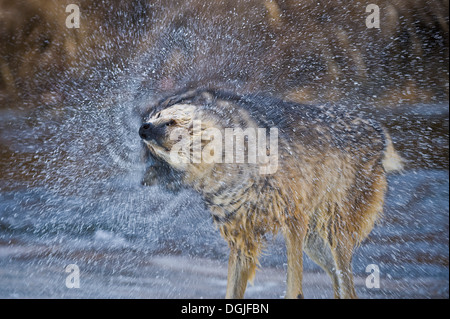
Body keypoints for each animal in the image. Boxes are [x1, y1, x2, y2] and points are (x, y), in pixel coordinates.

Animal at [139, 88, 402, 300]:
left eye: (171, 122)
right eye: (156, 117)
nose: (143, 127)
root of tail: (375, 127)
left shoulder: (294, 220)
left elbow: (293, 282)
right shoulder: (241, 241)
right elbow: (232, 291)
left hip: (334, 235)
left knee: (348, 285)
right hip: (316, 244)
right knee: (340, 284)